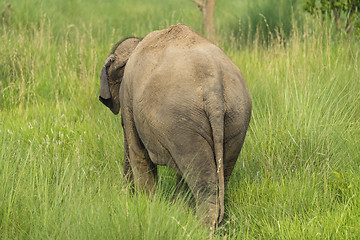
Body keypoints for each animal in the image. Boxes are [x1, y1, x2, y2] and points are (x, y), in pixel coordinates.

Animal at [98, 23, 250, 228]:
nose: (124, 195)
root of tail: (213, 88)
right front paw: (173, 211)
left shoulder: (128, 95)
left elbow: (138, 153)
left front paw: (148, 205)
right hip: (235, 117)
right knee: (216, 173)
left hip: (182, 122)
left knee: (201, 179)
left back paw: (201, 229)